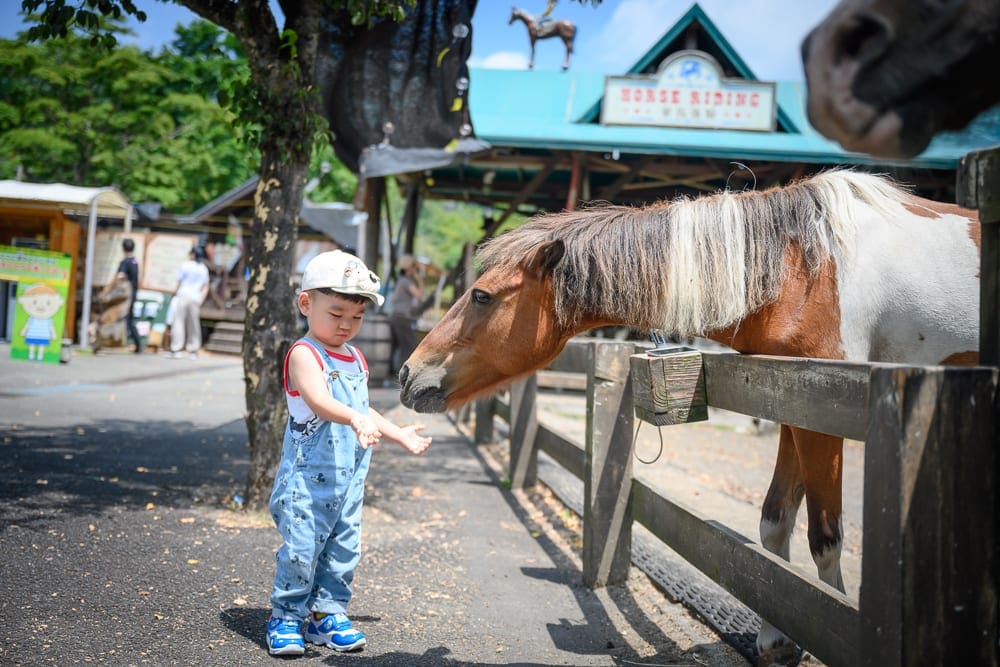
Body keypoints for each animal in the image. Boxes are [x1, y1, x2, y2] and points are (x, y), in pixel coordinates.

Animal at [399, 170, 981, 664]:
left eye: (481, 296)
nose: (408, 374)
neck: (802, 268)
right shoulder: (789, 398)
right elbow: (774, 524)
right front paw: (777, 639)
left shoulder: (826, 413)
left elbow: (825, 537)